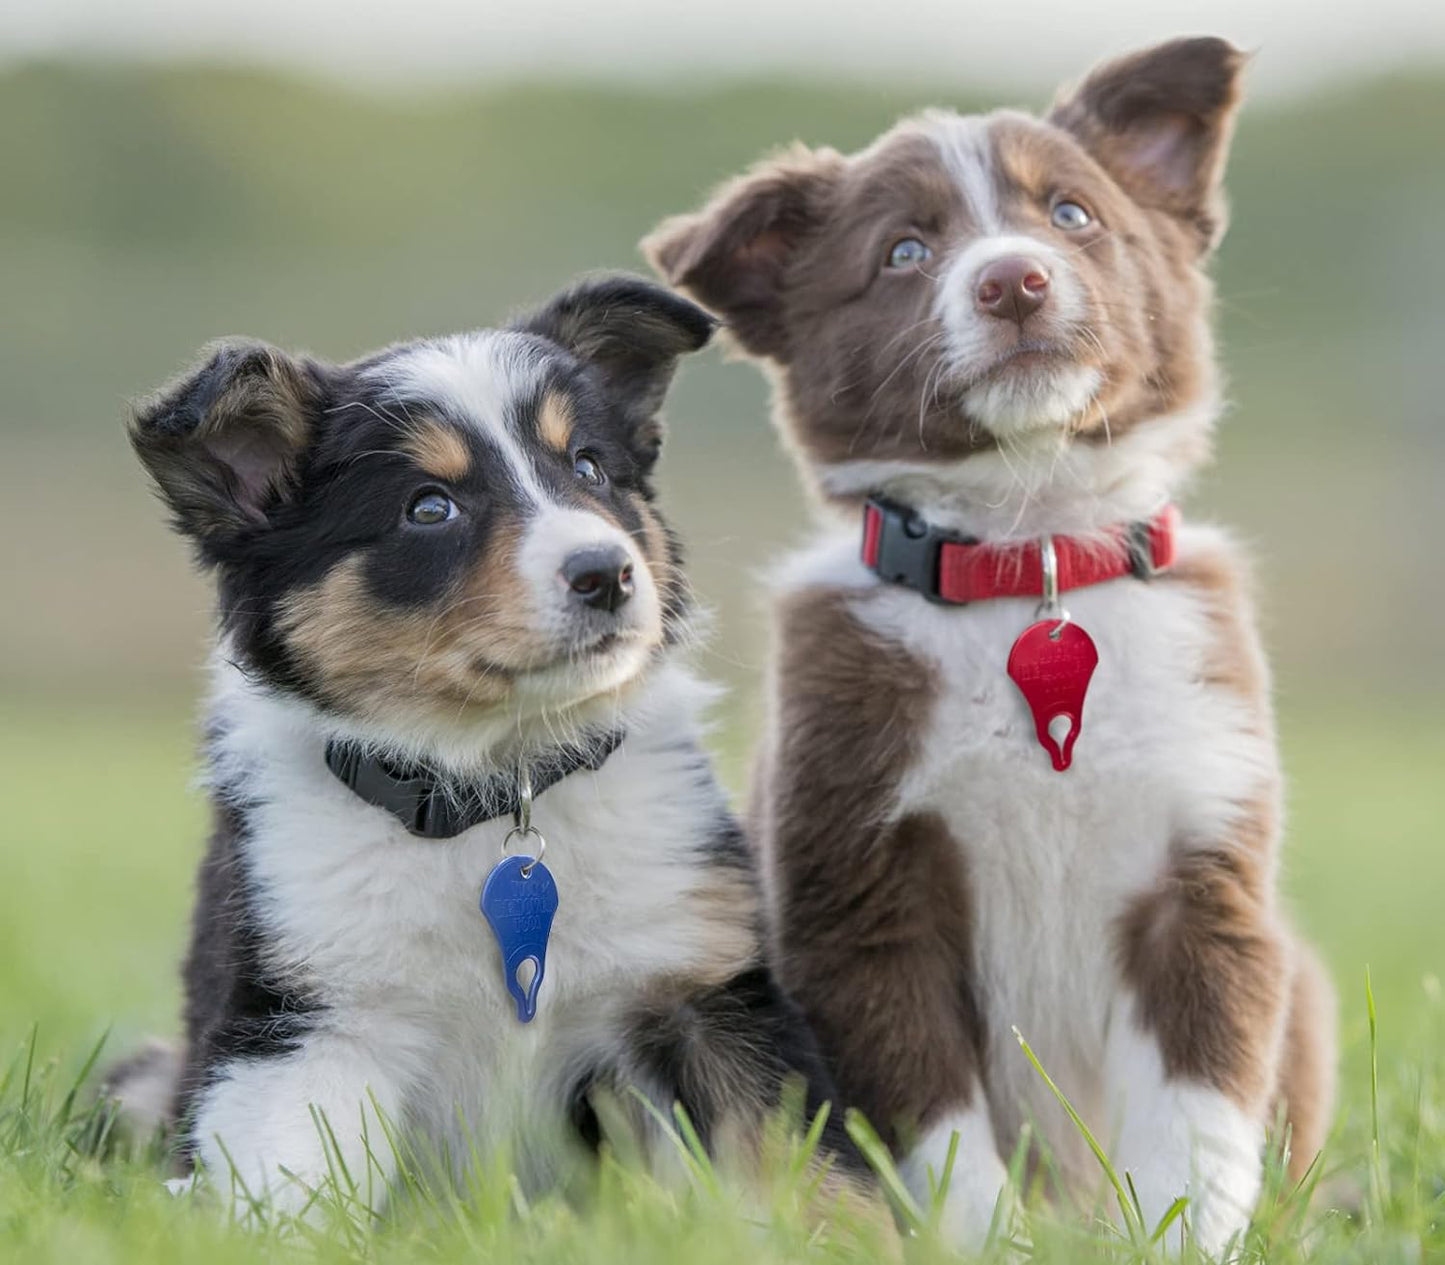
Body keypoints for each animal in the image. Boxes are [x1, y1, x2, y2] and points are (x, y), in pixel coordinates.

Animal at [112, 279, 872, 1237]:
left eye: (588, 467)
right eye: (429, 506)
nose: (608, 572)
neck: (496, 786)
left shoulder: (706, 990)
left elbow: (815, 1170)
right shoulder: (302, 1024)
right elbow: (291, 1191)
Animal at [650, 39, 1335, 1254]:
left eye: (1070, 214)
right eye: (904, 251)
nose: (1012, 280)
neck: (1029, 555)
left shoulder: (1203, 873)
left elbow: (1199, 1116)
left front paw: (1180, 1232)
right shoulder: (862, 896)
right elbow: (939, 1133)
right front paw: (989, 1237)